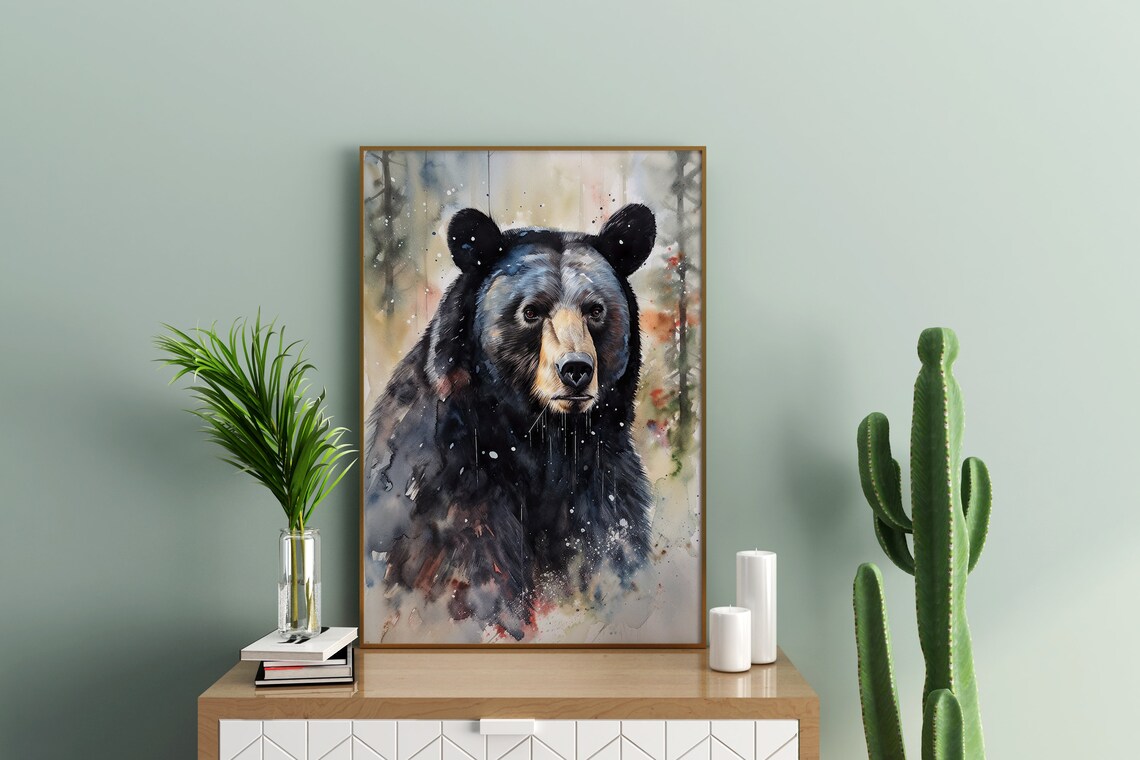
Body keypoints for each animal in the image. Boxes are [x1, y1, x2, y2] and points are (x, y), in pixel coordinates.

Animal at [364, 203, 657, 641]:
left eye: (595, 310)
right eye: (531, 311)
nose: (576, 370)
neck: (542, 440)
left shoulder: (604, 483)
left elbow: (613, 550)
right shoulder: (450, 487)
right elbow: (474, 574)